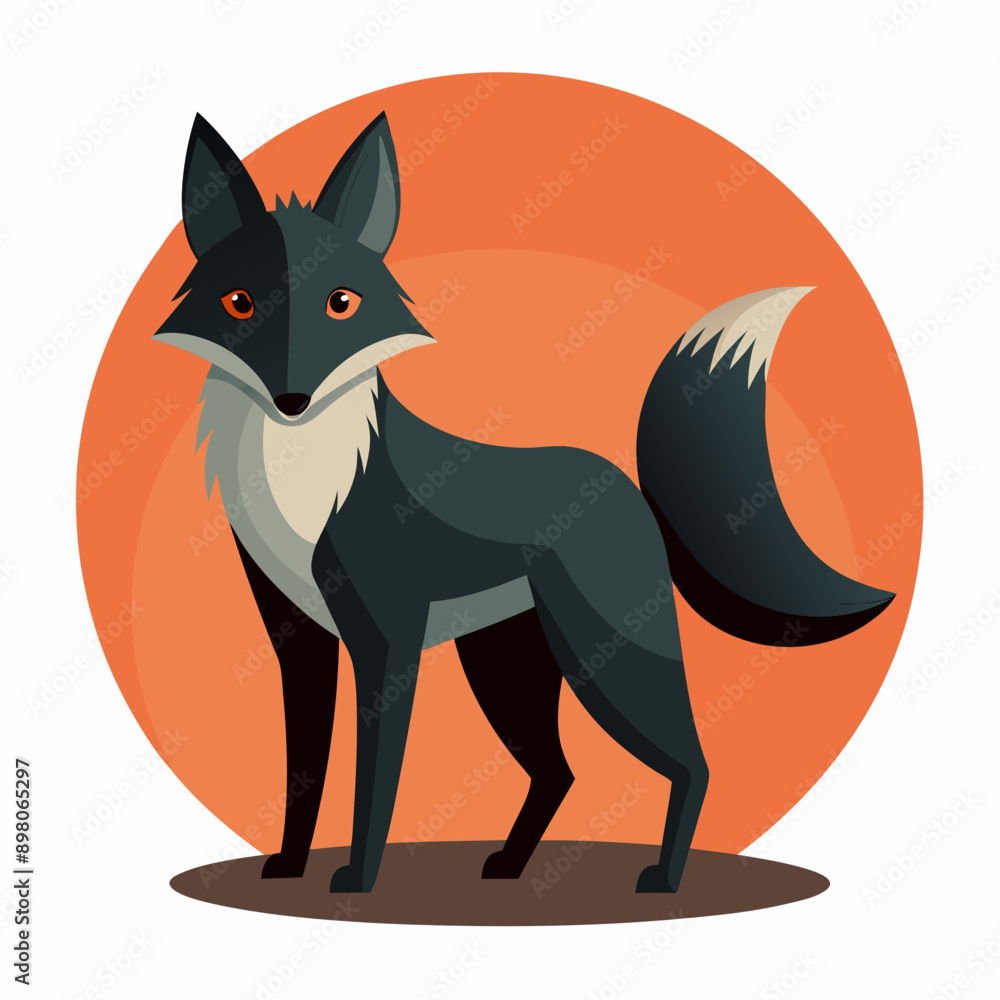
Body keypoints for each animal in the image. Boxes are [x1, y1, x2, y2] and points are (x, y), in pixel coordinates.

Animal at [154, 111, 894, 894]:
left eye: (341, 302)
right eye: (240, 301)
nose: (292, 399)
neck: (302, 474)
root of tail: (626, 485)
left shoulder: (386, 641)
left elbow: (373, 779)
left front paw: (356, 879)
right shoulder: (298, 641)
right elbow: (304, 773)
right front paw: (289, 868)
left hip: (605, 656)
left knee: (692, 762)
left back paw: (664, 879)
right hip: (506, 665)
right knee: (561, 772)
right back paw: (511, 866)